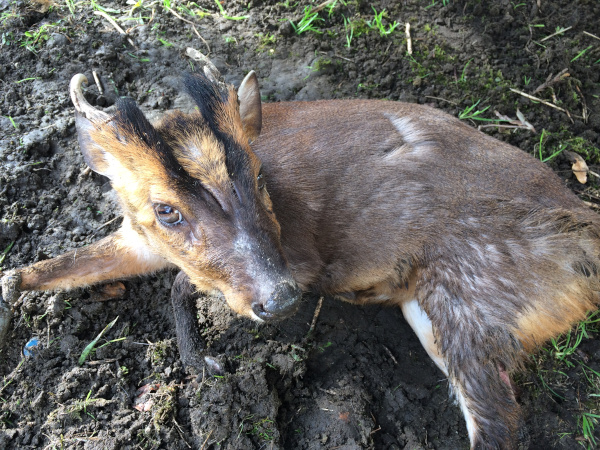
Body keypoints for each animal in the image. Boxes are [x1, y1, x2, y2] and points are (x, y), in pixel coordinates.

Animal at [1, 57, 600, 450]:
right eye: (167, 210)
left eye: (260, 177)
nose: (281, 299)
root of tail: (582, 237)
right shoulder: (138, 237)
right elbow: (62, 266)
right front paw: (12, 291)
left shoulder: (306, 258)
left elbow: (180, 283)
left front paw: (204, 363)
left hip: (469, 297)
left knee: (500, 424)